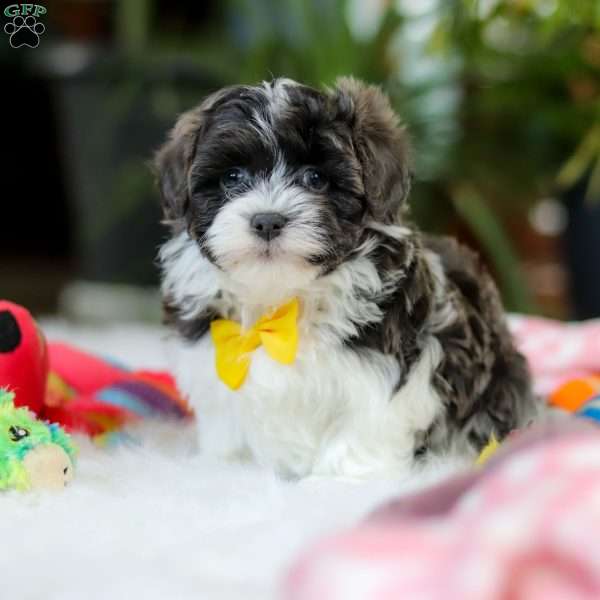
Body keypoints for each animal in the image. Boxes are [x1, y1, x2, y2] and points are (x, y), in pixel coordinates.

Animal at [155, 77, 540, 480]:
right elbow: (227, 431)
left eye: (315, 178)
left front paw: (341, 479)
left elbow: (362, 430)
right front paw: (226, 469)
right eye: (232, 177)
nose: (268, 220)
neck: (282, 300)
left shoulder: (384, 370)